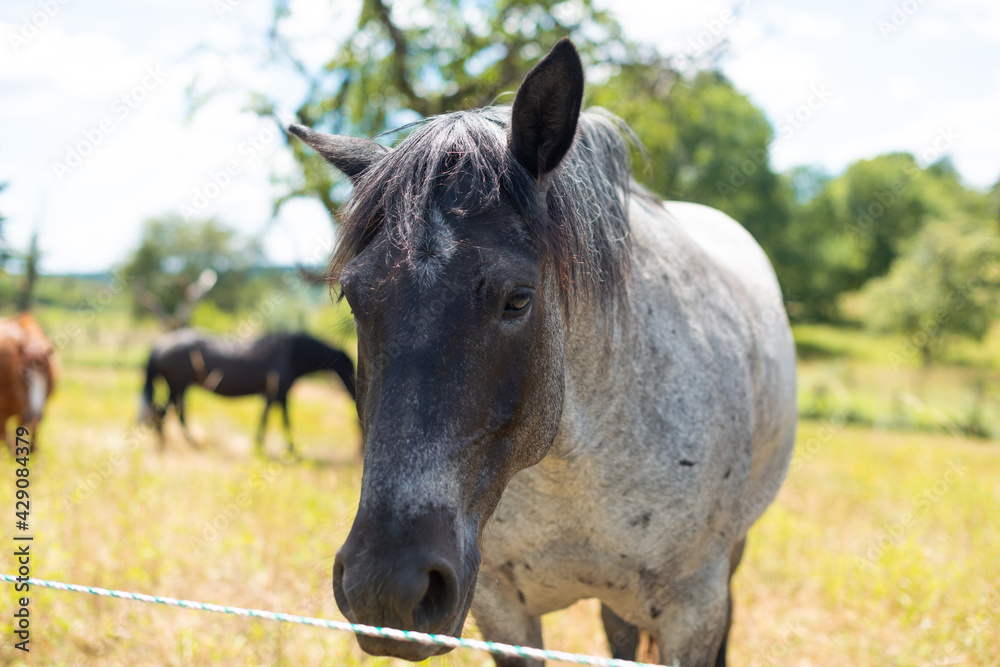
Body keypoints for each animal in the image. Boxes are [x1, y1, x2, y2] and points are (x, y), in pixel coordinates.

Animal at [140, 329, 357, 454]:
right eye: (351, 372)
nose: (356, 395)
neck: (290, 354)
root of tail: (159, 346)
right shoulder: (272, 395)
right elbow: (269, 420)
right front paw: (263, 448)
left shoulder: (281, 395)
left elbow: (282, 420)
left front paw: (290, 450)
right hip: (177, 387)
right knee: (167, 414)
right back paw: (186, 446)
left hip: (176, 388)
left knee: (163, 414)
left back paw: (169, 445)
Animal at [289, 38, 796, 666]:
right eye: (355, 298)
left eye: (518, 299)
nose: (385, 588)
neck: (575, 470)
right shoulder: (503, 611)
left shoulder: (694, 612)